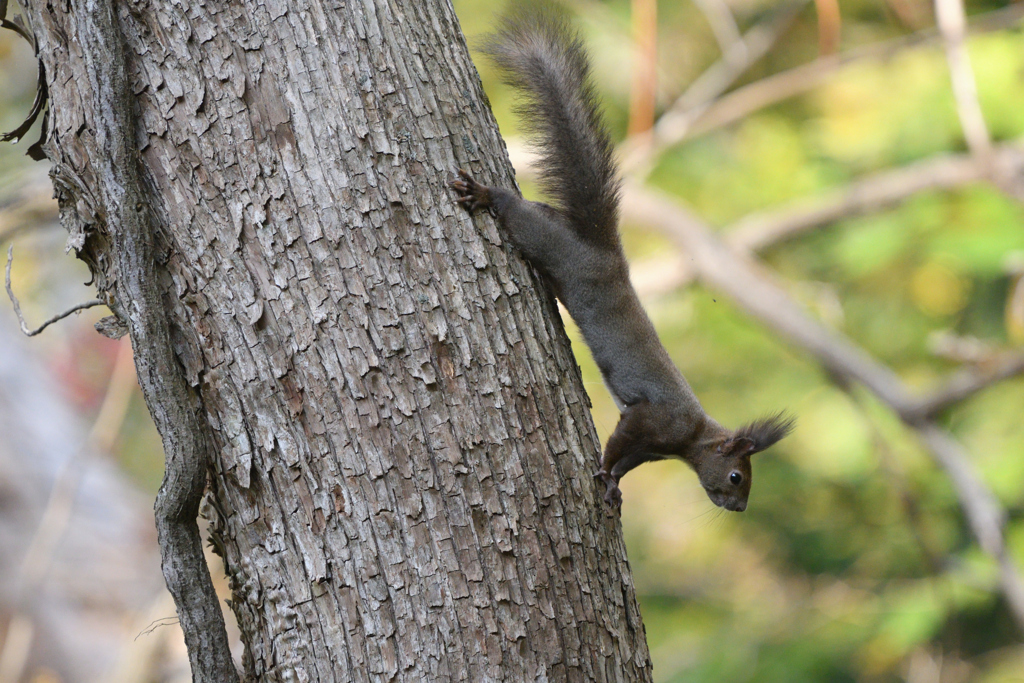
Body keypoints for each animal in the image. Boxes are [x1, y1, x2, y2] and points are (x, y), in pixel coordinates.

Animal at [448, 7, 790, 509]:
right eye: (736, 477)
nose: (740, 507)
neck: (691, 437)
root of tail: (605, 251)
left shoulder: (650, 447)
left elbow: (628, 462)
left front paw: (614, 484)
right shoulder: (648, 420)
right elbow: (617, 446)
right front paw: (605, 474)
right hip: (551, 245)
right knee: (518, 214)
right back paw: (486, 194)